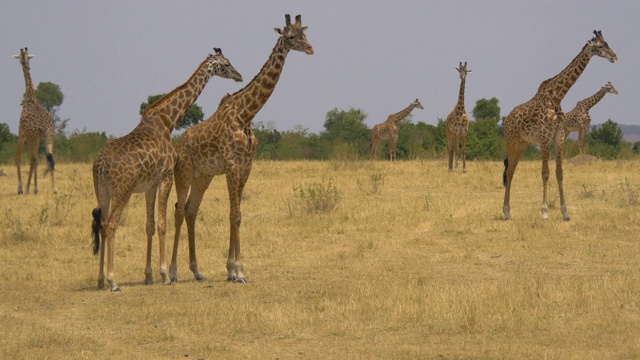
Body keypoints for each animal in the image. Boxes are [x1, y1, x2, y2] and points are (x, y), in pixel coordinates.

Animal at [12, 48, 56, 195]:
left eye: (20, 57)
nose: (22, 61)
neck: (30, 96)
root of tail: (45, 126)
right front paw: (36, 188)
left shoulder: (21, 133)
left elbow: (18, 158)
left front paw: (21, 188)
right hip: (49, 137)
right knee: (49, 158)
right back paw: (54, 188)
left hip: (33, 138)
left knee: (33, 160)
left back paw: (26, 189)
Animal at [89, 47, 241, 292]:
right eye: (226, 63)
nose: (239, 76)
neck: (168, 120)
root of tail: (100, 165)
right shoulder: (166, 176)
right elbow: (163, 223)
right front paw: (165, 275)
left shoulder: (150, 184)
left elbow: (150, 225)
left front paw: (149, 276)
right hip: (122, 191)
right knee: (111, 224)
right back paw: (113, 281)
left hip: (101, 190)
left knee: (102, 225)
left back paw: (101, 280)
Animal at [168, 13, 312, 284]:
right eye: (290, 36)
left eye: (305, 34)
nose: (310, 49)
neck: (246, 115)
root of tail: (178, 143)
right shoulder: (233, 166)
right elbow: (233, 214)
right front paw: (237, 271)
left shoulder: (245, 167)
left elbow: (237, 214)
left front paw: (233, 270)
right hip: (183, 171)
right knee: (179, 210)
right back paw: (171, 273)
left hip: (203, 175)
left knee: (191, 210)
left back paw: (197, 270)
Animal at [502, 31, 616, 221]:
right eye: (600, 46)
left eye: (608, 43)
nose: (614, 56)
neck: (556, 97)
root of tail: (507, 119)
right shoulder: (545, 137)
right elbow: (545, 172)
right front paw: (544, 212)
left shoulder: (559, 135)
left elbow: (559, 172)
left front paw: (566, 212)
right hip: (511, 140)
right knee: (510, 171)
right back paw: (506, 212)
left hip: (523, 143)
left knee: (512, 169)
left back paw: (507, 211)